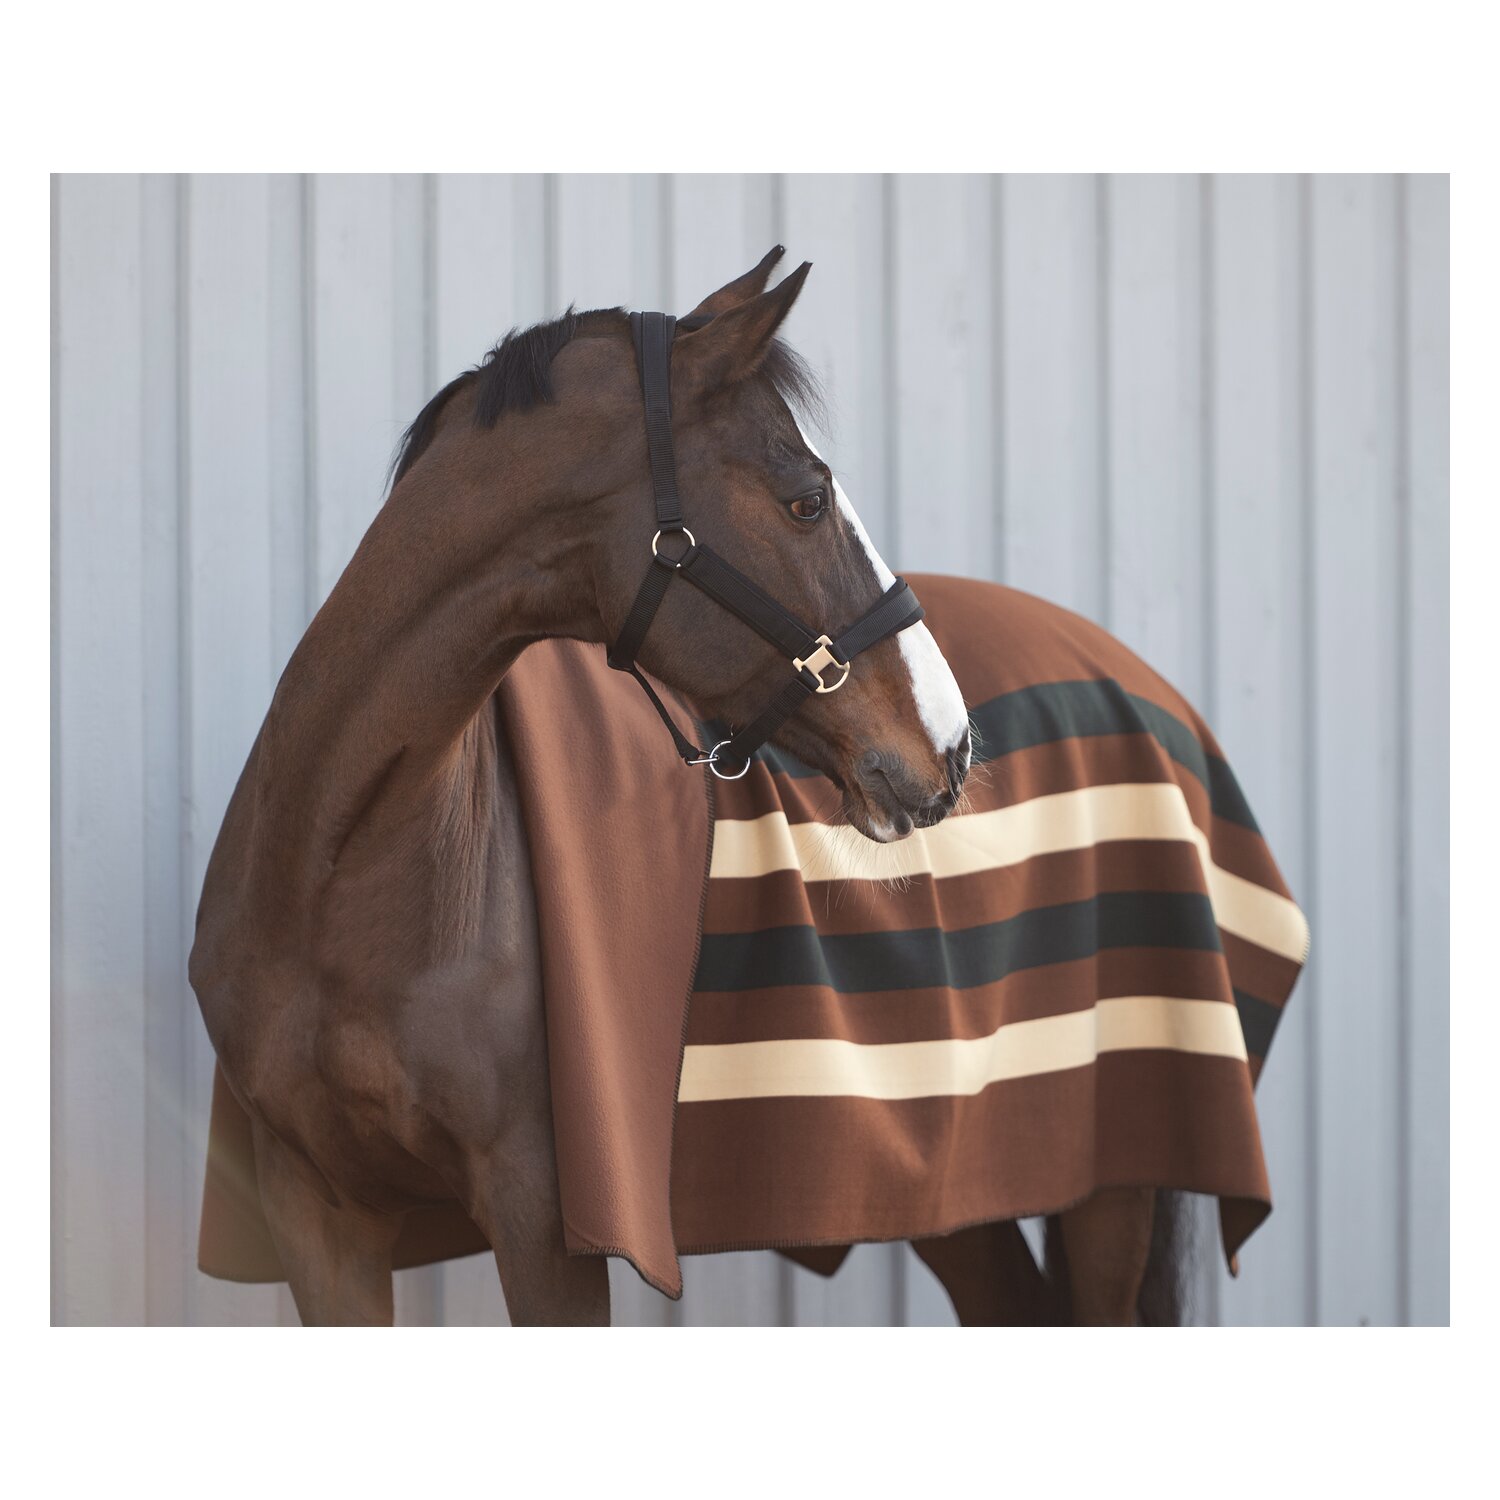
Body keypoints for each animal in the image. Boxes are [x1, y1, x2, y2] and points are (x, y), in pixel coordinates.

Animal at [190, 248, 1210, 1326]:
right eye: (806, 499)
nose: (952, 746)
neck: (343, 871)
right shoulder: (318, 1213)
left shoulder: (546, 1217)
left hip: (1109, 1182)